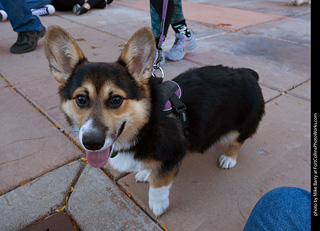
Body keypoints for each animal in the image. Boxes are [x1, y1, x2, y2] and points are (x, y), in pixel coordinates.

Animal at [45, 26, 264, 217]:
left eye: (116, 100)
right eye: (81, 99)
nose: (92, 142)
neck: (146, 124)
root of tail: (247, 73)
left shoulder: (173, 155)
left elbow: (159, 185)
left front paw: (158, 205)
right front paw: (145, 172)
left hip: (243, 124)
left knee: (237, 141)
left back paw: (229, 158)